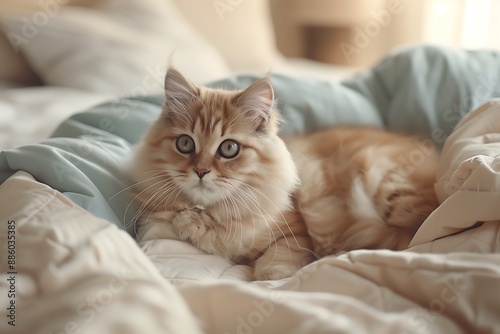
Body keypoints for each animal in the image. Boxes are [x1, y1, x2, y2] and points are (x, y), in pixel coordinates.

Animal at [127, 68, 440, 280]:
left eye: (229, 148)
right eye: (185, 144)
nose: (201, 171)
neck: (213, 214)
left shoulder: (295, 229)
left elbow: (277, 256)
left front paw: (270, 275)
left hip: (384, 182)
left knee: (417, 235)